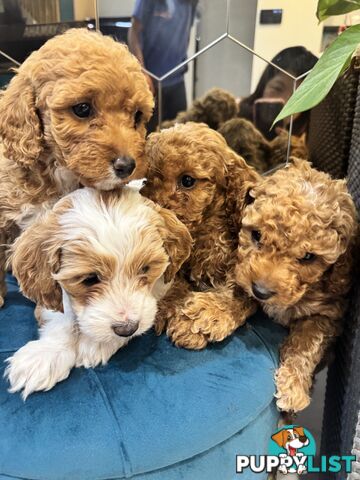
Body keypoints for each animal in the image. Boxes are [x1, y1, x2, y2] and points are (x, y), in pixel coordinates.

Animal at [4, 188, 191, 398]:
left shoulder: (163, 285)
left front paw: (98, 343)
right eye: (90, 279)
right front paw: (45, 355)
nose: (126, 328)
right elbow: (61, 316)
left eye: (145, 269)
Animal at [141, 124, 258, 348]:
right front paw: (168, 303)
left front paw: (198, 319)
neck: (203, 230)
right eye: (147, 180)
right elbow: (175, 280)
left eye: (187, 181)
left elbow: (235, 295)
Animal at [235, 160, 356, 412]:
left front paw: (293, 385)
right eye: (256, 235)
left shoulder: (329, 314)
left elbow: (306, 342)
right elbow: (238, 289)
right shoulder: (244, 271)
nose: (261, 291)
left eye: (309, 257)